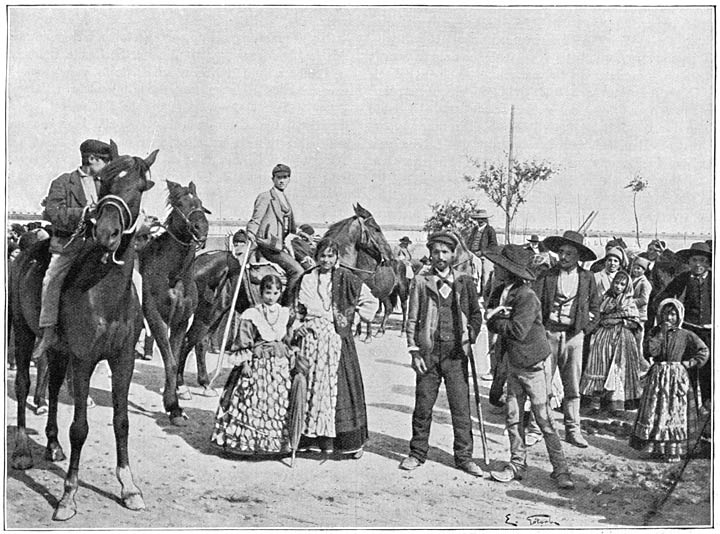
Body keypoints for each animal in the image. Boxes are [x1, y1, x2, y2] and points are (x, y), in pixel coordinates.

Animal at [10, 143, 159, 524]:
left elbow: (121, 421)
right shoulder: (84, 360)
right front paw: (67, 496)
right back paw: (22, 450)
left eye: (141, 186)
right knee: (22, 386)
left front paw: (129, 487)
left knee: (51, 385)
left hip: (58, 349)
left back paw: (52, 445)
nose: (106, 233)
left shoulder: (122, 361)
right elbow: (80, 428)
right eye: (104, 181)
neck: (105, 293)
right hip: (23, 333)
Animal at [139, 180, 211, 428]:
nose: (201, 227)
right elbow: (170, 360)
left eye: (199, 202)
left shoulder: (180, 320)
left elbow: (175, 355)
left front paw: (175, 407)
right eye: (180, 203)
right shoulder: (156, 318)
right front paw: (172, 404)